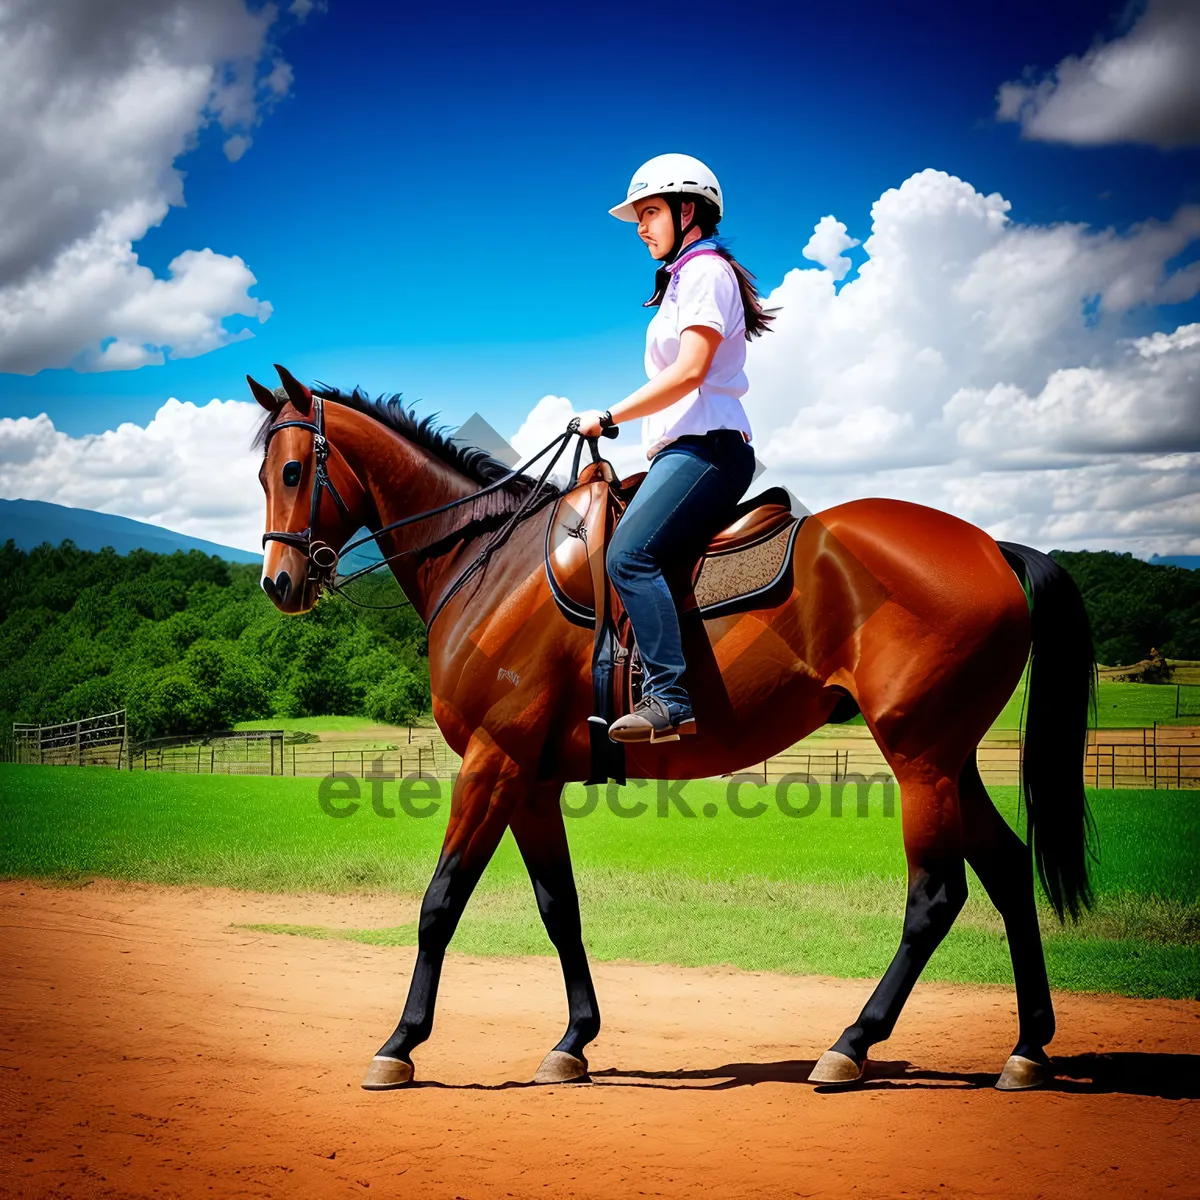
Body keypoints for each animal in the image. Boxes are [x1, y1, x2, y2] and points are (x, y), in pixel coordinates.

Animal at [250, 360, 1099, 1094]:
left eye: (292, 473)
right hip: (950, 758)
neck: (489, 561)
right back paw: (1028, 1048)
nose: (279, 583)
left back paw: (852, 1044)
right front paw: (573, 1041)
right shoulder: (532, 781)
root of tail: (989, 545)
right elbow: (559, 909)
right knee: (1008, 870)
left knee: (936, 896)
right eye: (261, 476)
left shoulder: (494, 763)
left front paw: (400, 1044)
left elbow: (440, 902)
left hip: (919, 758)